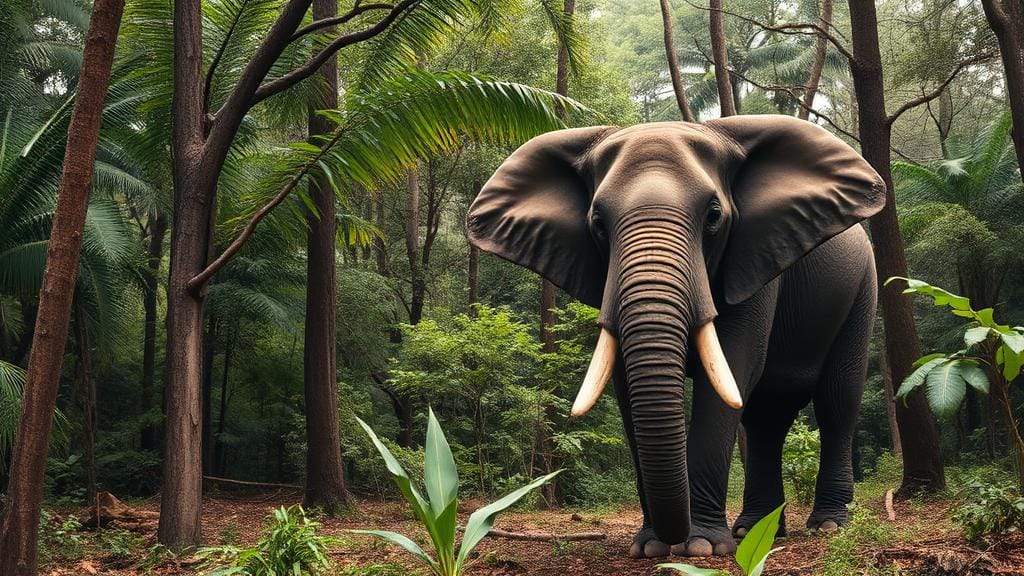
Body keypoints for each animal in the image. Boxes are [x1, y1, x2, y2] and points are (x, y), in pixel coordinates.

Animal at [465, 115, 885, 558]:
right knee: (765, 418)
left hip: (862, 289)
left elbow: (734, 366)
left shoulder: (754, 262)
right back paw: (753, 530)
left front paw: (699, 548)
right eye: (598, 224)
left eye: (714, 216)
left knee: (837, 402)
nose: (673, 539)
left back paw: (828, 525)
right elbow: (625, 383)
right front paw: (650, 548)